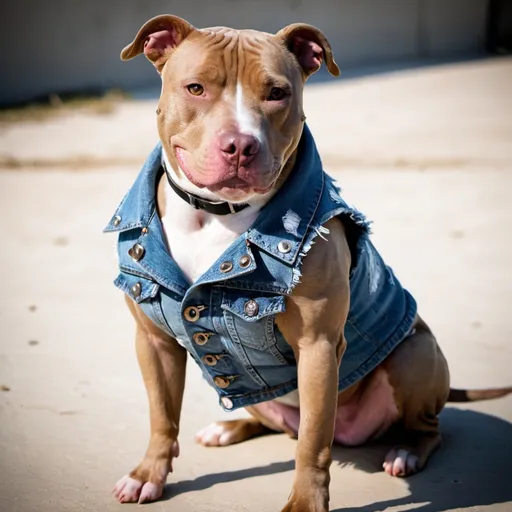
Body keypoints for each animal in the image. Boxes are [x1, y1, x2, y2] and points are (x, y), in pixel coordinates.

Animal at [106, 14, 510, 510]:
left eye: (277, 92)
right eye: (196, 88)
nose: (239, 145)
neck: (216, 214)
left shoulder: (317, 347)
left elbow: (314, 441)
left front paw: (304, 501)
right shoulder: (154, 339)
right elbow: (162, 416)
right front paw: (148, 474)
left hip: (415, 356)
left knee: (425, 428)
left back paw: (406, 452)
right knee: (268, 418)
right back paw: (229, 427)